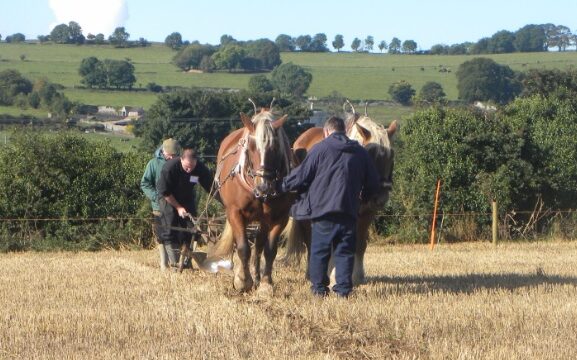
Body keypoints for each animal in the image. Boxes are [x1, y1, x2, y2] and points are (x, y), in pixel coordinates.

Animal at [208, 100, 292, 294]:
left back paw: (257, 277)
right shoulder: (235, 213)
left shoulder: (280, 217)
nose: (263, 187)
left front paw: (266, 284)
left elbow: (269, 249)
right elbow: (243, 247)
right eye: (251, 147)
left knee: (259, 244)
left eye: (275, 147)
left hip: (263, 220)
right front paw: (242, 281)